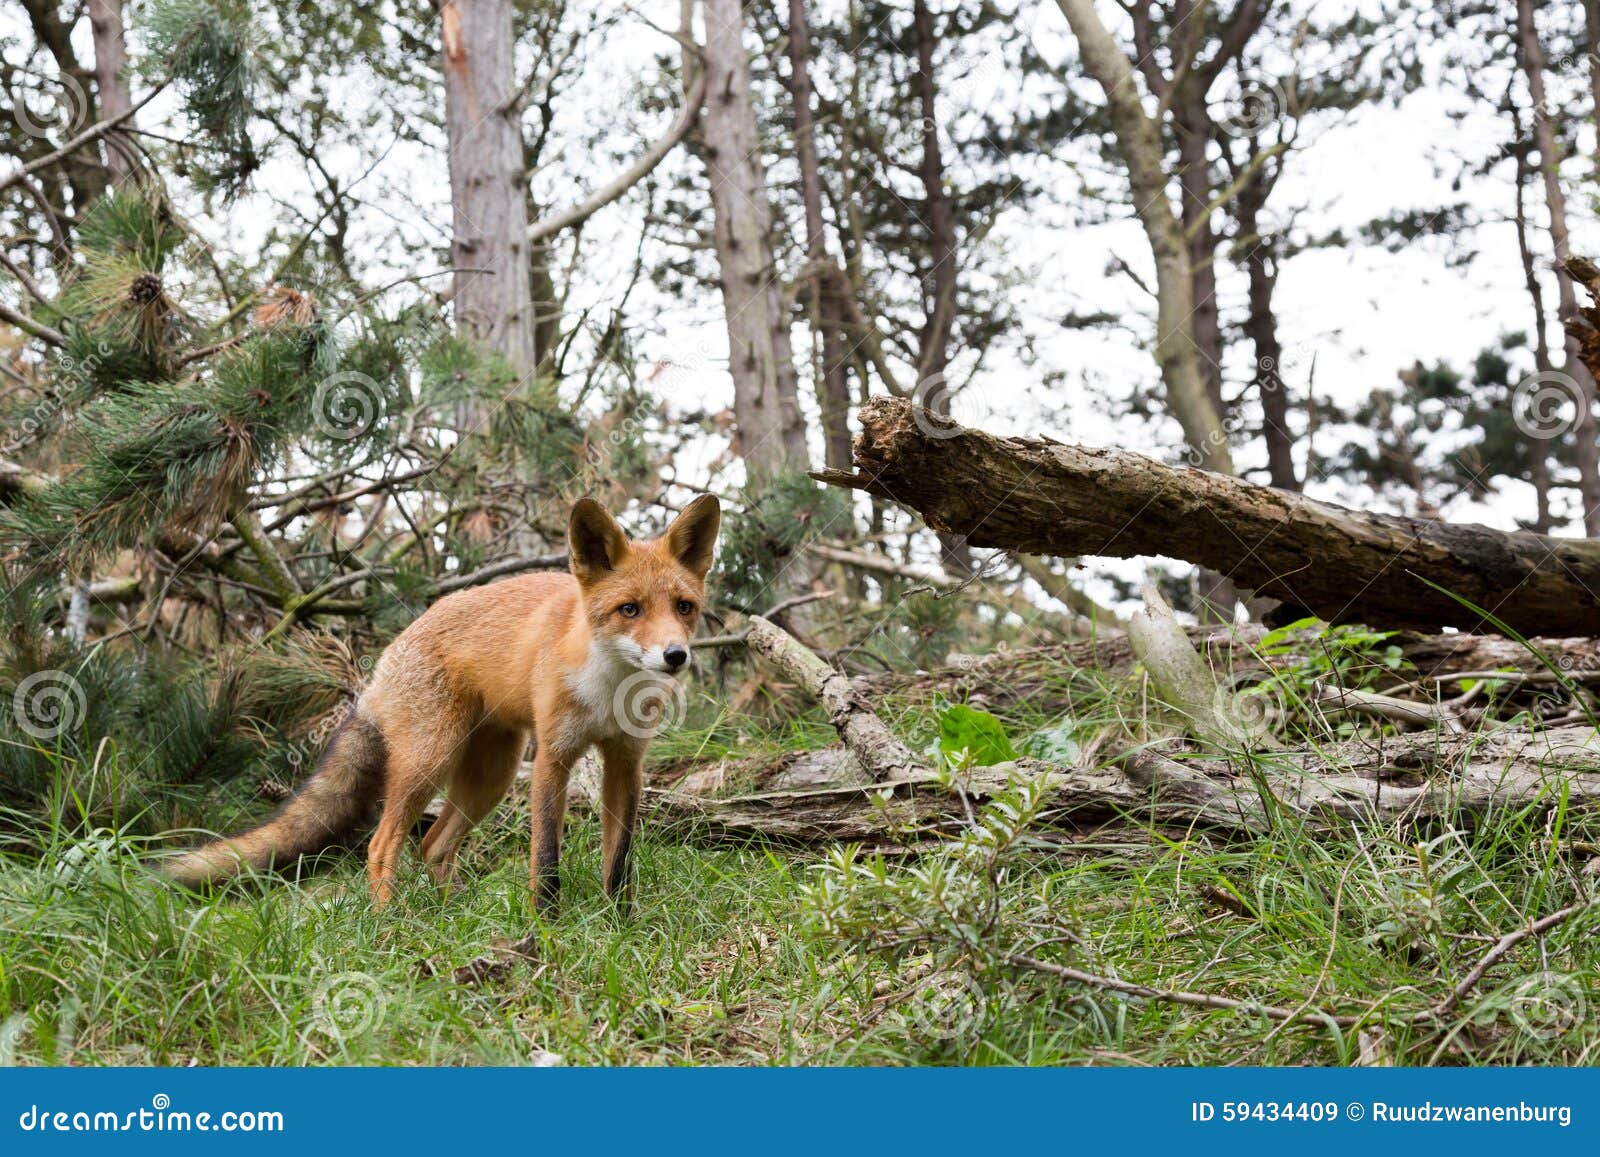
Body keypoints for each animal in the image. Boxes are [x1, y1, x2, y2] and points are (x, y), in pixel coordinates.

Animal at [163, 495, 721, 912]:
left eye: (684, 607)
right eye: (630, 609)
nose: (675, 655)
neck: (608, 693)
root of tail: (389, 654)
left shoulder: (626, 761)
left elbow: (619, 861)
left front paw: (618, 923)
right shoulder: (554, 758)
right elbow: (546, 859)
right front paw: (547, 927)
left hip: (491, 775)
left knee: (432, 845)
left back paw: (452, 916)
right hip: (431, 761)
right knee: (382, 845)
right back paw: (391, 924)